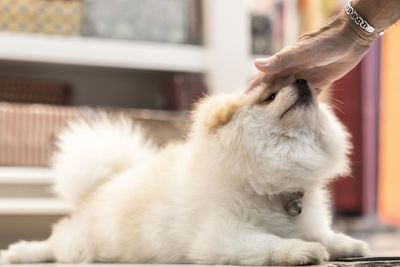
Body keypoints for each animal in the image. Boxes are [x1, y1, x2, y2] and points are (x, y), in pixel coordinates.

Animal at [0, 77, 368, 266]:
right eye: (270, 96)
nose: (304, 79)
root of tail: (103, 184)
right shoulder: (221, 237)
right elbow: (269, 242)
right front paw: (300, 251)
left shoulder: (308, 222)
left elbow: (324, 235)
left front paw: (347, 244)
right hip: (82, 244)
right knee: (55, 244)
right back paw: (20, 252)